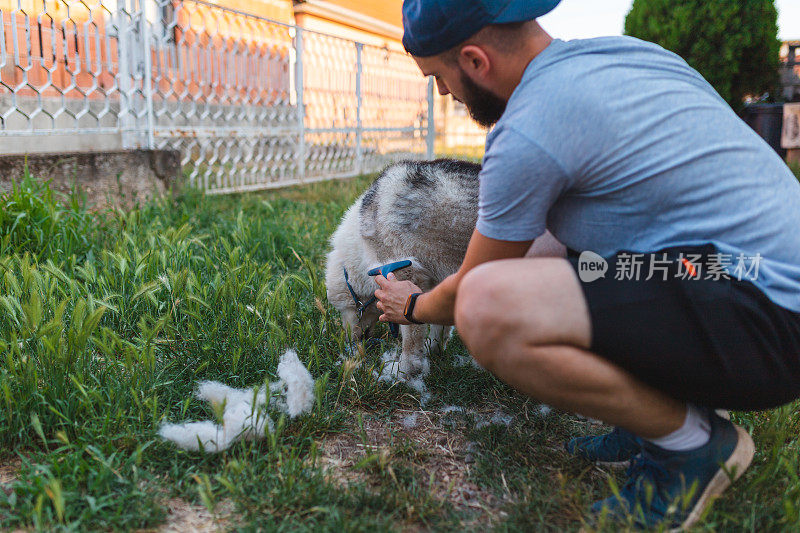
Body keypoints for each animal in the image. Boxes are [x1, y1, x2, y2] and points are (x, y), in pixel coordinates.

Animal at [326, 160, 482, 376]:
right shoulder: (440, 280)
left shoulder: (405, 275)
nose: (350, 341)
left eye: (349, 308)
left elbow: (411, 335)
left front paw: (406, 371)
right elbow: (439, 327)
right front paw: (434, 351)